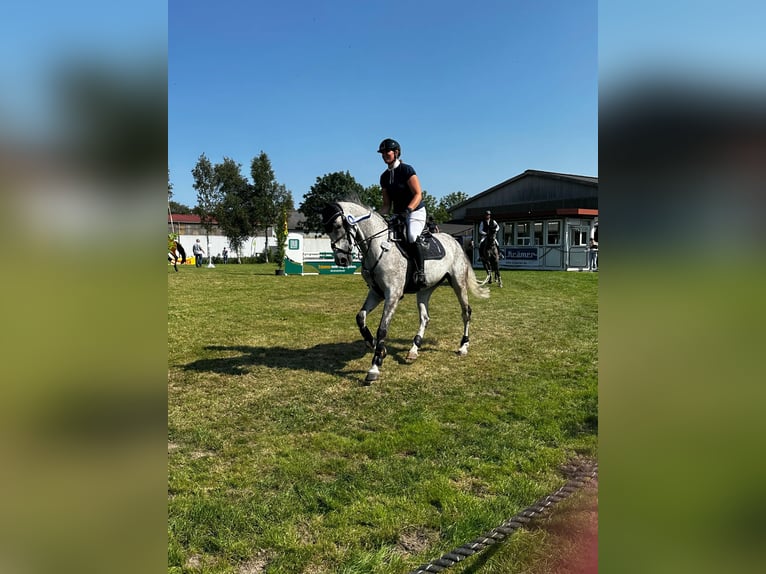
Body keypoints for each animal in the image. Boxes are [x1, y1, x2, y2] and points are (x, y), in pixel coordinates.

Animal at [320, 202, 488, 388]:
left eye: (337, 226)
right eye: (327, 229)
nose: (341, 260)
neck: (379, 247)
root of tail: (455, 242)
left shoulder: (392, 295)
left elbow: (382, 329)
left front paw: (374, 367)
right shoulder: (376, 293)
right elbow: (360, 317)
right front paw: (376, 346)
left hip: (458, 284)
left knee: (466, 312)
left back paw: (463, 346)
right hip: (424, 290)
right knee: (425, 318)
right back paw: (414, 349)